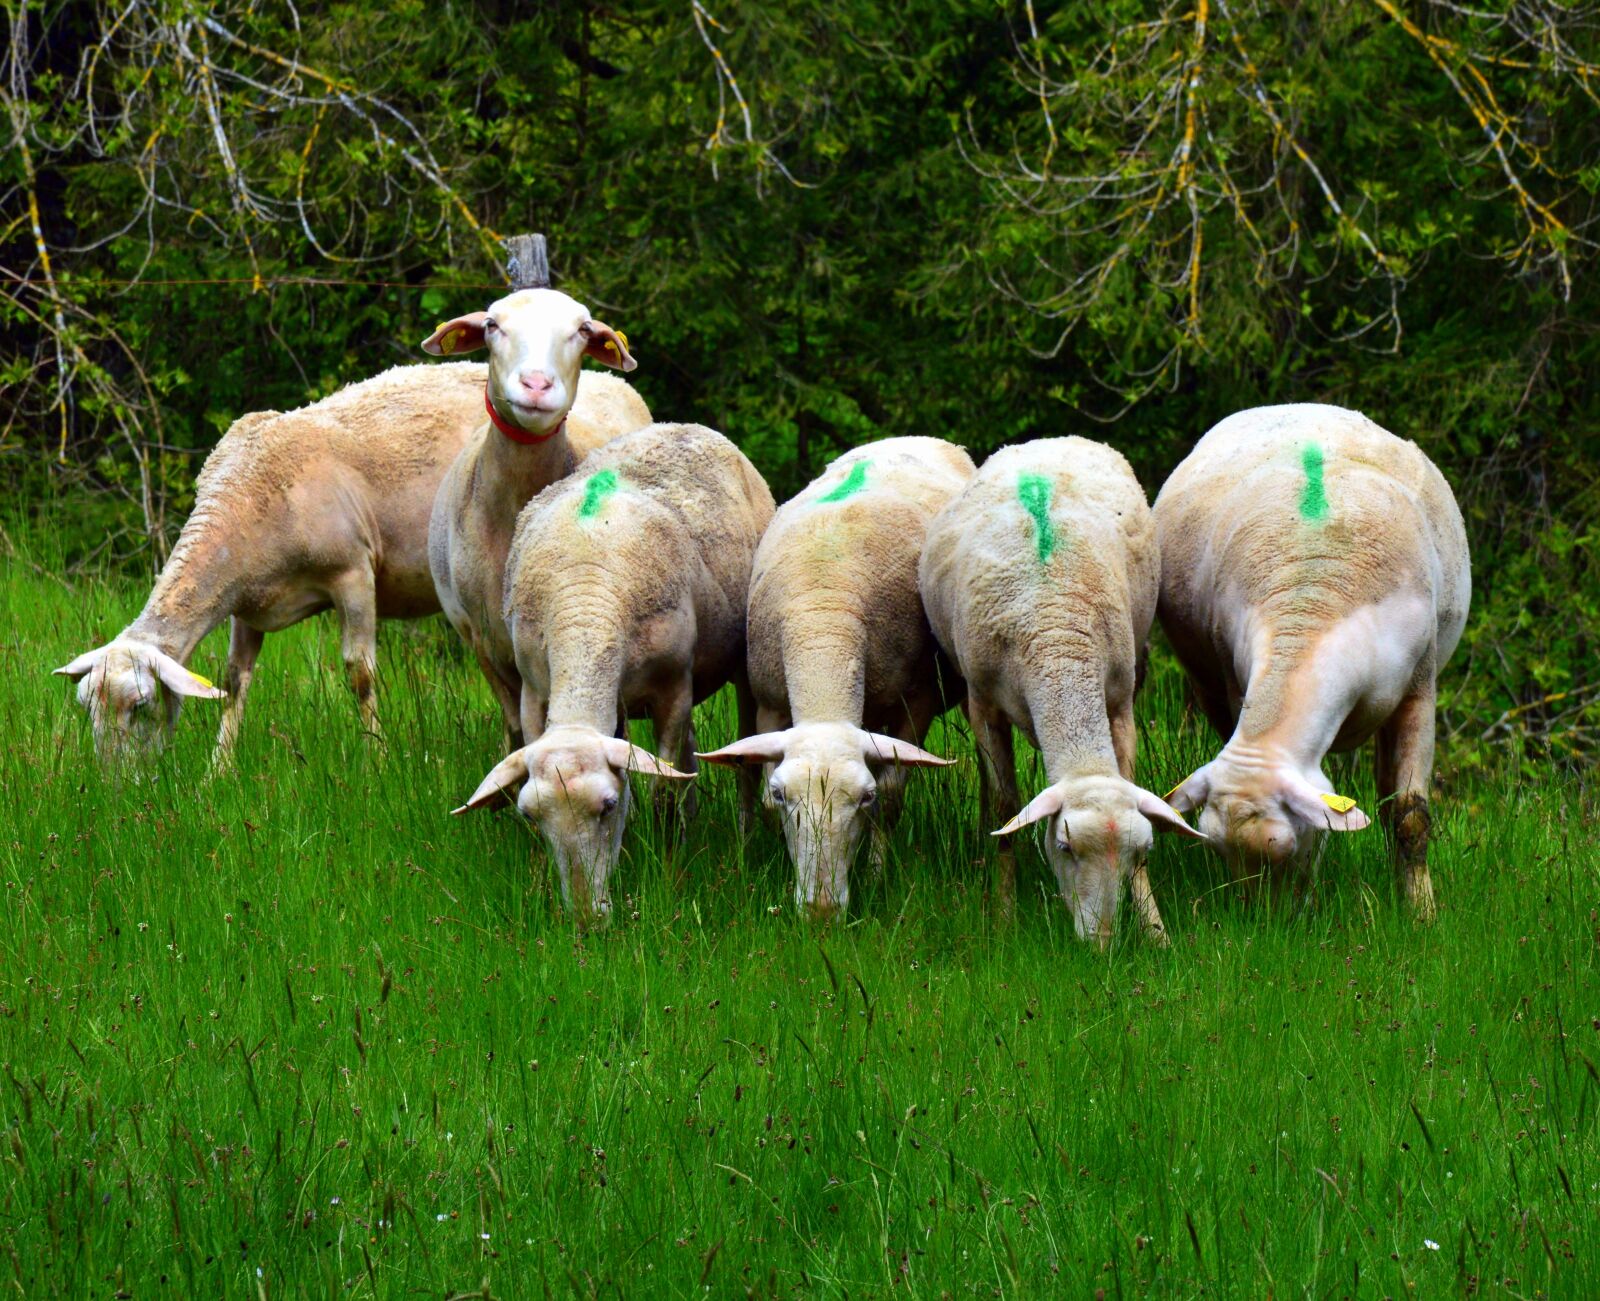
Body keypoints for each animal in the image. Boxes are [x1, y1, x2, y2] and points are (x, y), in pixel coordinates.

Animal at [55, 361, 500, 764]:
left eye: (140, 705)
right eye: (87, 709)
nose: (115, 786)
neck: (244, 499)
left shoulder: (353, 573)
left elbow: (360, 674)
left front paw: (378, 760)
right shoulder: (245, 605)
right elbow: (234, 681)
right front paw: (217, 771)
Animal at [452, 422, 775, 925]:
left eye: (606, 807)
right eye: (531, 816)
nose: (586, 919)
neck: (584, 605)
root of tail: (683, 425)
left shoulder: (673, 691)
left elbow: (662, 793)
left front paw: (669, 864)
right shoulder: (534, 692)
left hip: (744, 660)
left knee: (742, 760)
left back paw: (741, 837)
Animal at [697, 437, 973, 919]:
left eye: (864, 798)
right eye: (784, 795)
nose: (821, 912)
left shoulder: (917, 703)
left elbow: (893, 798)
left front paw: (877, 875)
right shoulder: (771, 703)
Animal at [919, 438, 1203, 944]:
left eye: (1142, 850)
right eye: (1064, 846)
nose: (1101, 944)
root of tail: (1047, 441)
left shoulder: (1120, 703)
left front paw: (1154, 928)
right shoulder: (984, 705)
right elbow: (1006, 807)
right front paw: (1004, 917)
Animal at [1154, 404, 1471, 919]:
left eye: (1288, 848)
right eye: (1219, 854)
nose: (1267, 925)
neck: (1312, 597)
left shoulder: (1418, 692)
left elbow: (1410, 816)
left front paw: (1421, 913)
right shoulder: (1235, 684)